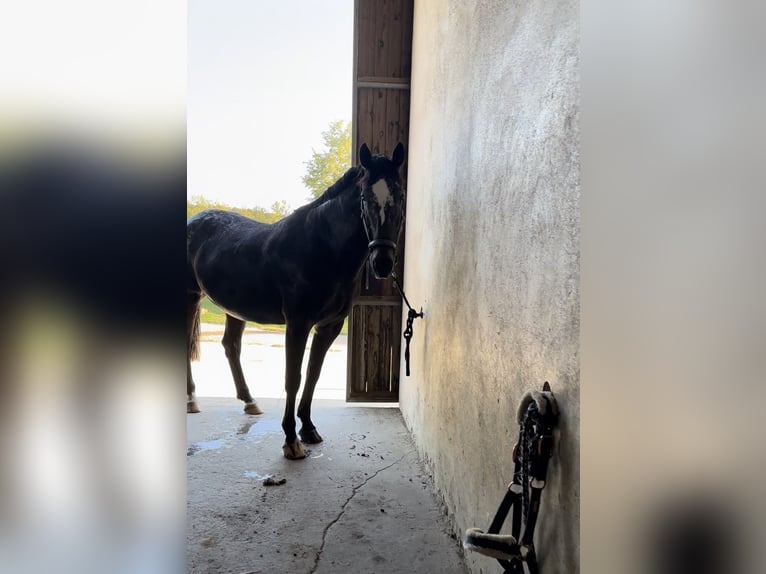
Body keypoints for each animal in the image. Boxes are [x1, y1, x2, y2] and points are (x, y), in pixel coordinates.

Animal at [187, 143, 406, 459]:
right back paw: (192, 399)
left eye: (400, 196)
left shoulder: (330, 325)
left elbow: (313, 374)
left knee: (231, 346)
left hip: (234, 310)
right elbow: (294, 377)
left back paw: (250, 401)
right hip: (190, 298)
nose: (383, 263)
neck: (322, 248)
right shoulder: (298, 324)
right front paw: (291, 439)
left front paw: (309, 428)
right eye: (365, 198)